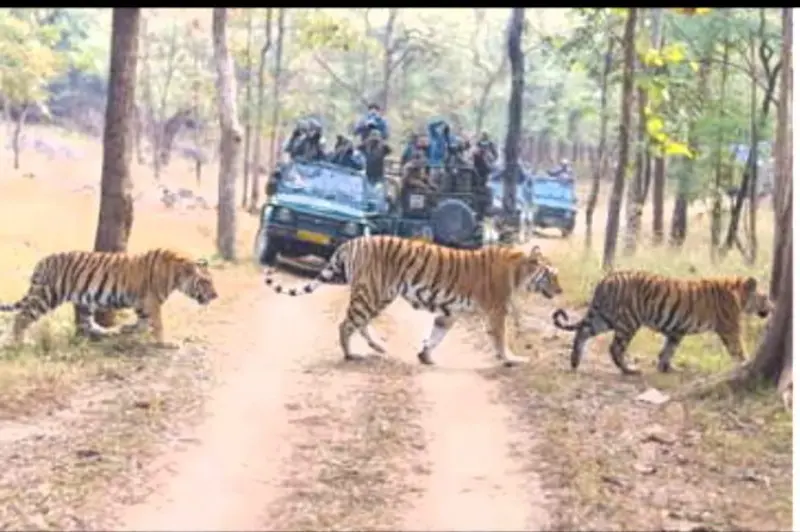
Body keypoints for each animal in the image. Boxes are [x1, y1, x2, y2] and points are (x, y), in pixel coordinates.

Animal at [0, 248, 218, 346]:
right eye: (206, 282)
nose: (216, 295)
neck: (176, 276)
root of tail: (43, 261)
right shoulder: (151, 301)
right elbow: (157, 324)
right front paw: (166, 343)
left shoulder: (142, 303)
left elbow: (143, 323)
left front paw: (127, 329)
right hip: (48, 295)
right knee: (22, 317)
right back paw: (21, 343)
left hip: (84, 301)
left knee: (87, 323)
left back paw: (108, 331)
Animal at [264, 235, 562, 367]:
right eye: (552, 275)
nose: (561, 291)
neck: (520, 271)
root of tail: (352, 241)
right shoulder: (497, 310)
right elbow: (500, 338)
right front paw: (512, 358)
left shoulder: (449, 312)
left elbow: (437, 334)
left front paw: (425, 356)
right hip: (374, 291)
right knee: (346, 324)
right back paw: (351, 355)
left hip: (378, 294)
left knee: (359, 322)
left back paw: (378, 347)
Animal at [551, 270, 772, 375]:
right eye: (765, 298)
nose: (772, 308)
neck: (738, 295)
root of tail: (606, 278)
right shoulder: (730, 328)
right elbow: (738, 349)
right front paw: (745, 364)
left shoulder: (677, 331)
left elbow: (668, 350)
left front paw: (666, 368)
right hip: (628, 321)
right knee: (615, 347)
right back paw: (629, 370)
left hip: (604, 317)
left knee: (582, 332)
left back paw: (575, 361)